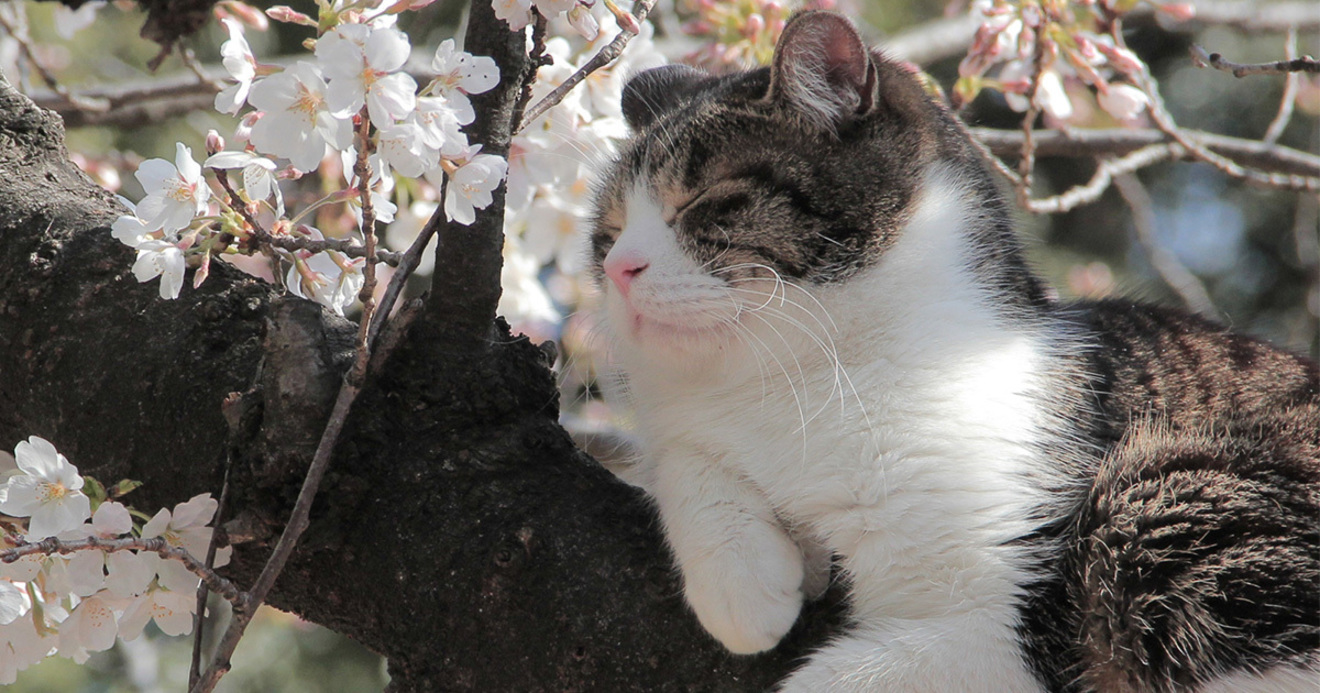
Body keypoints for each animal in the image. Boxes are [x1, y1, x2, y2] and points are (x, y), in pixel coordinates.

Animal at [588, 10, 1320, 691]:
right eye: (610, 230)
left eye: (706, 200)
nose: (620, 268)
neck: (796, 383)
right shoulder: (692, 423)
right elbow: (687, 457)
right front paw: (743, 588)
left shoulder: (1011, 620)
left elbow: (833, 680)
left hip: (1157, 502)